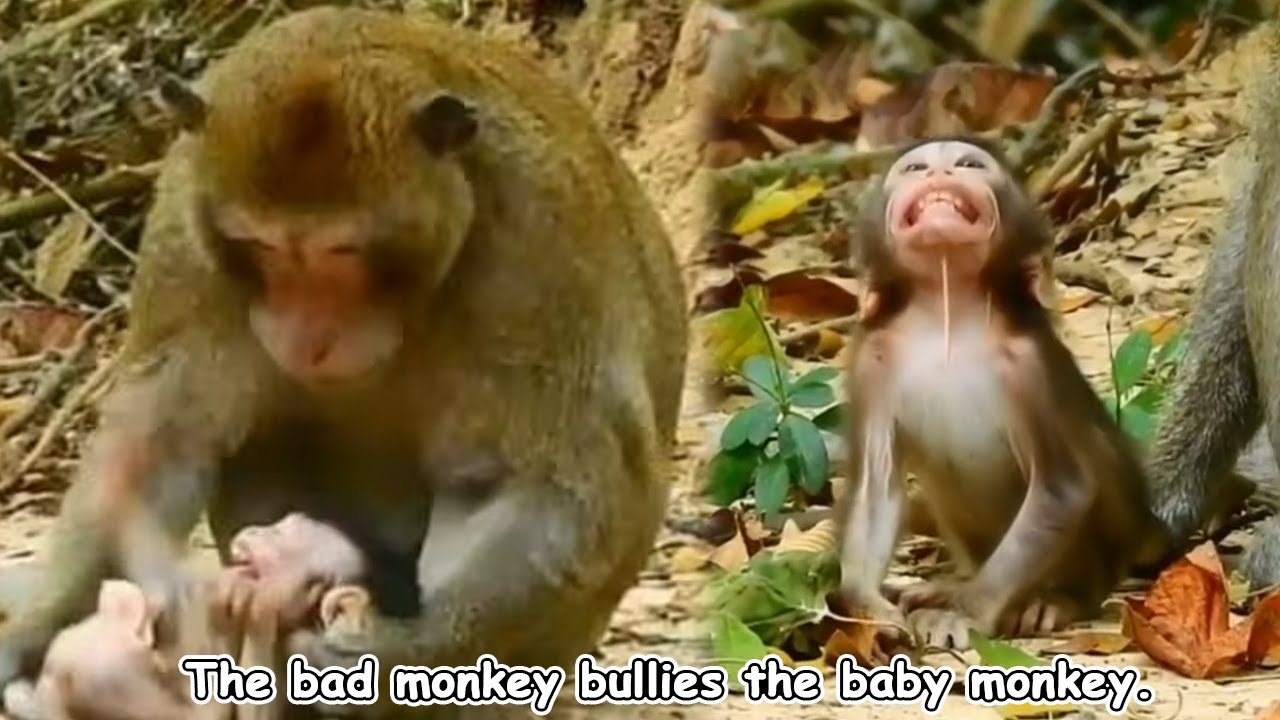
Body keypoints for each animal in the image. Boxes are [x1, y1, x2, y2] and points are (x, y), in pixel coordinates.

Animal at [0, 8, 687, 718]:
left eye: (343, 251)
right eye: (261, 246)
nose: (309, 333)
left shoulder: (536, 253)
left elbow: (547, 492)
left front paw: (388, 657)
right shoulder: (183, 235)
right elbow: (162, 441)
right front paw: (36, 631)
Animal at [835, 137, 1165, 650]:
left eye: (971, 164)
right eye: (914, 168)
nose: (941, 168)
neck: (947, 318)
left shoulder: (1029, 365)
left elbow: (1061, 488)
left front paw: (965, 612)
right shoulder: (872, 357)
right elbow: (876, 486)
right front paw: (870, 608)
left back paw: (1059, 598)